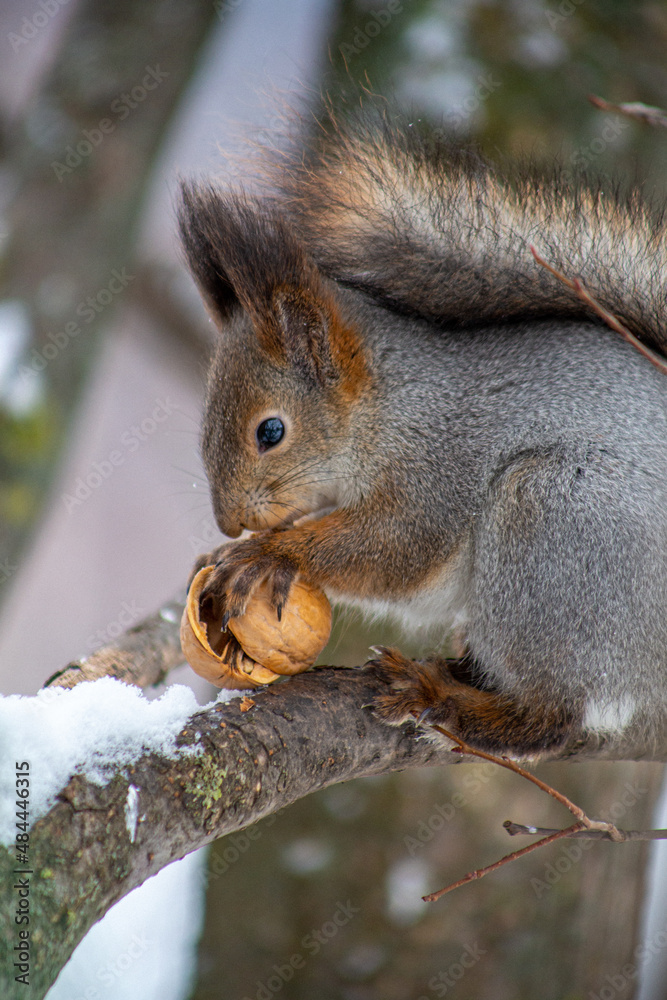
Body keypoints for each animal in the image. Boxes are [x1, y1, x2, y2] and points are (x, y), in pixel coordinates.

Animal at [178, 103, 667, 757]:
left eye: (271, 431)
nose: (229, 521)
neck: (390, 407)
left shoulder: (439, 464)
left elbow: (400, 545)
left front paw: (269, 553)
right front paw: (225, 551)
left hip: (556, 518)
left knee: (555, 714)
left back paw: (446, 699)